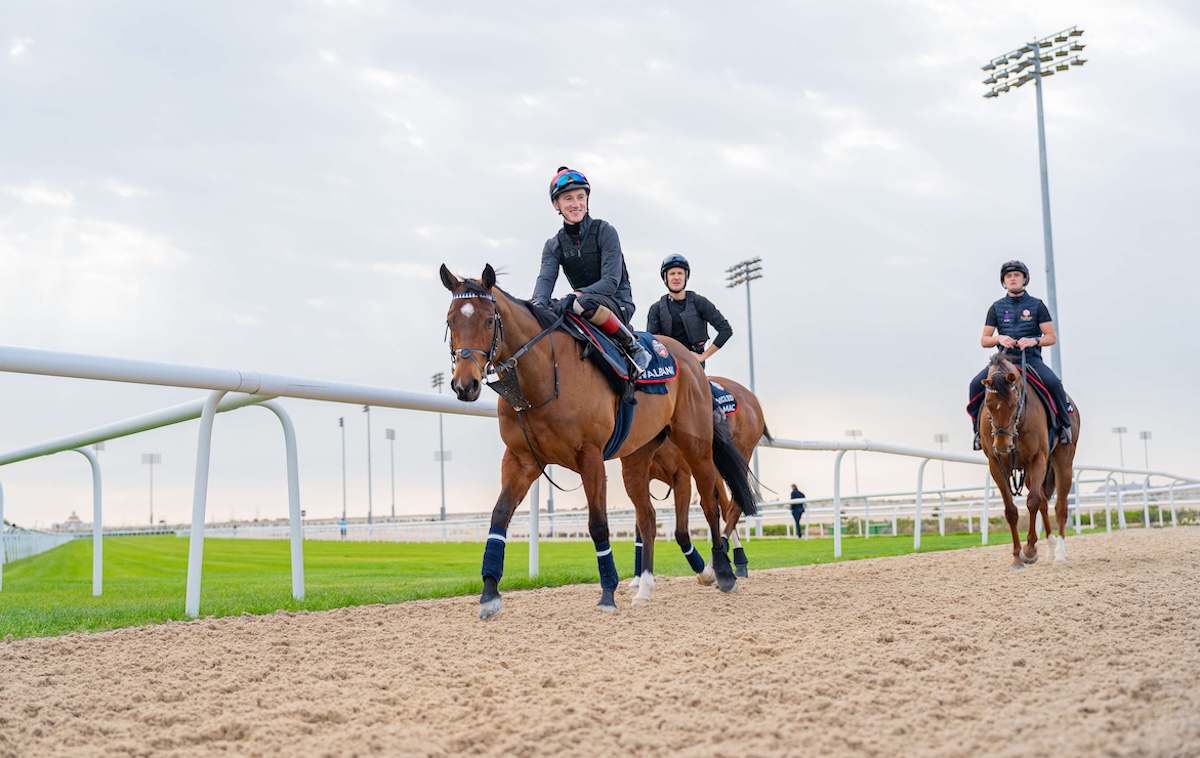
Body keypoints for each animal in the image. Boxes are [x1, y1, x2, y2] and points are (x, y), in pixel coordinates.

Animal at [441, 263, 758, 618]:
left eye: (487, 320)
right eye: (451, 320)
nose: (464, 384)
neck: (545, 376)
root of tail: (690, 360)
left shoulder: (591, 456)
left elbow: (598, 524)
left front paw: (608, 592)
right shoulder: (521, 459)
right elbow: (499, 516)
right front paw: (489, 593)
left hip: (696, 446)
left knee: (712, 505)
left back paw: (724, 571)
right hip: (637, 458)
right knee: (648, 518)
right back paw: (646, 588)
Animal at [633, 376, 772, 582]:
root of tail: (751, 398)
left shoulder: (681, 475)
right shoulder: (641, 476)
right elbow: (640, 528)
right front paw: (637, 579)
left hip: (740, 453)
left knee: (735, 505)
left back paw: (717, 562)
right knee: (725, 506)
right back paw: (739, 562)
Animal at [979, 352, 1084, 570]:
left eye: (1014, 404)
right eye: (988, 404)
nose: (1002, 445)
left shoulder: (1038, 459)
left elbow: (1033, 501)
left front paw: (1029, 551)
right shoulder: (996, 464)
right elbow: (1011, 510)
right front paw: (1017, 557)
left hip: (1063, 462)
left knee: (1060, 506)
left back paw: (1059, 555)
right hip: (1027, 473)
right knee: (1044, 502)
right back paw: (1051, 550)